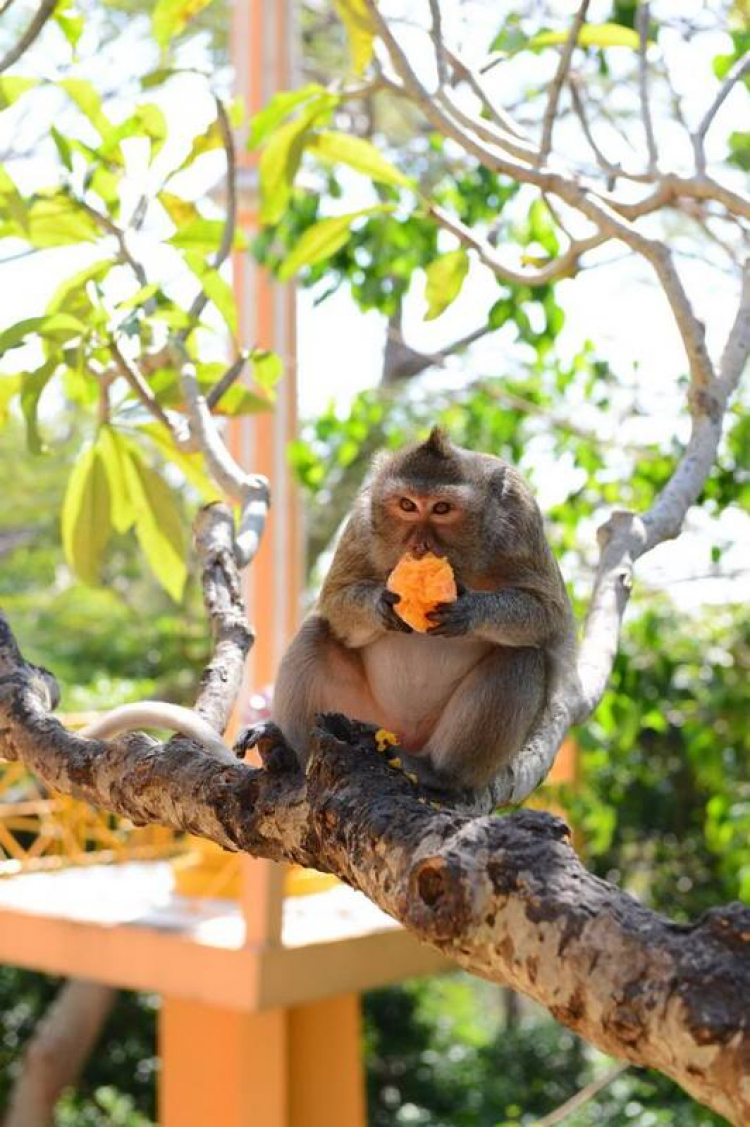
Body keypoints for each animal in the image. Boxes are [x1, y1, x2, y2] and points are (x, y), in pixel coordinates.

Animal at [242, 426, 575, 806]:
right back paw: (288, 753)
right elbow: (335, 600)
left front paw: (471, 610)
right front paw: (379, 605)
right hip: (356, 712)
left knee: (521, 657)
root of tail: (400, 736)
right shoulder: (362, 521)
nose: (419, 546)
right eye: (407, 505)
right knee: (317, 631)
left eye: (442, 508)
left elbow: (547, 613)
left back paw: (441, 775)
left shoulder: (522, 517)